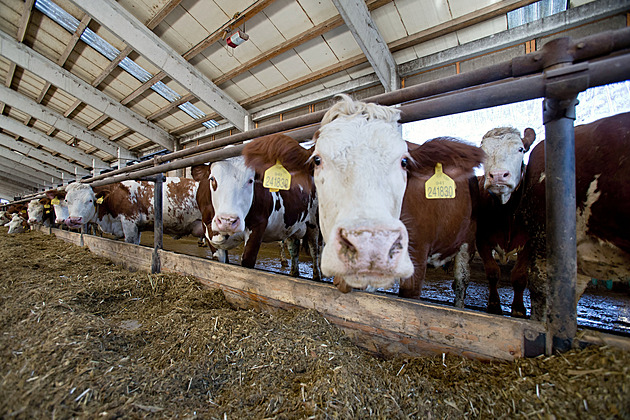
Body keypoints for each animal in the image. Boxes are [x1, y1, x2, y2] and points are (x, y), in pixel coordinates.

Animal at [64, 176, 204, 243]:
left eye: (89, 200)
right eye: (66, 200)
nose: (74, 220)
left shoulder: (129, 221)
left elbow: (130, 243)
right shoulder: (137, 227)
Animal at [191, 149, 320, 280]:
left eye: (251, 180)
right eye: (212, 179)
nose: (228, 221)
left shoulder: (258, 225)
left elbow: (247, 262)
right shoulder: (207, 229)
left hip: (314, 224)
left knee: (315, 251)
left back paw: (317, 276)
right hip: (292, 225)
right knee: (294, 249)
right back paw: (294, 273)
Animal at [242, 94, 484, 302]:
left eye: (404, 161)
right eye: (317, 160)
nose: (370, 245)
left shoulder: (416, 258)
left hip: (467, 240)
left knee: (461, 282)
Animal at [482, 111, 630, 318]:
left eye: (520, 149)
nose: (497, 175)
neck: (507, 212)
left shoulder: (529, 244)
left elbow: (519, 277)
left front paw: (518, 309)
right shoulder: (483, 240)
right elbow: (493, 272)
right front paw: (495, 305)